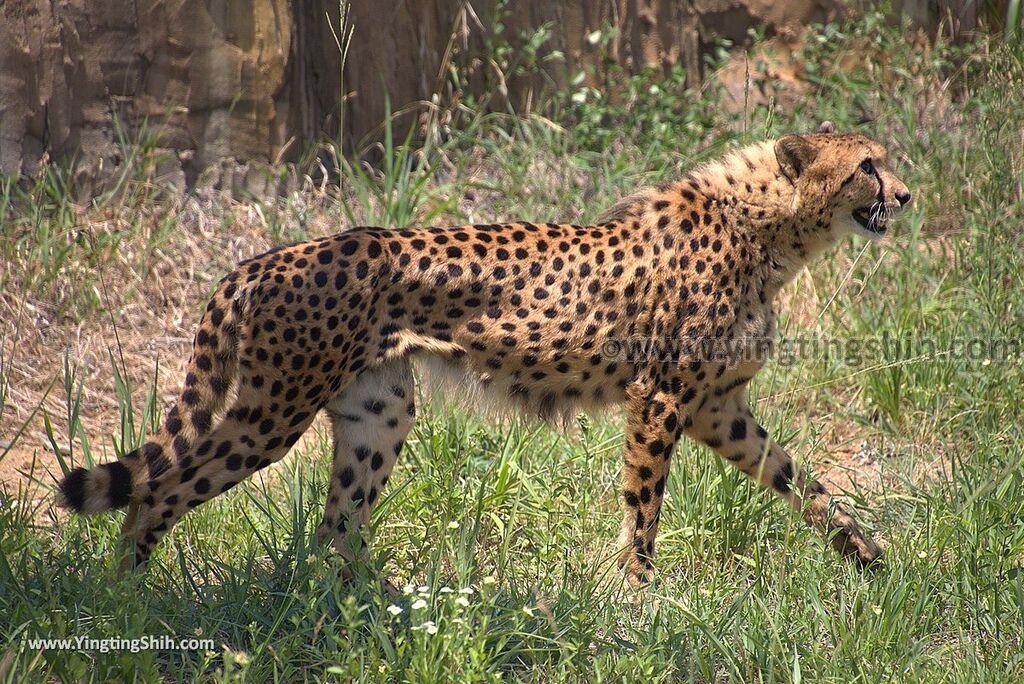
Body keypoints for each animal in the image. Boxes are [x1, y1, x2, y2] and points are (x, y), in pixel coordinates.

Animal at [59, 121, 913, 581]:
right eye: (867, 165)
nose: (905, 195)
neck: (771, 226)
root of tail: (262, 259)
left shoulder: (716, 406)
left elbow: (802, 481)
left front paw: (870, 558)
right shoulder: (663, 398)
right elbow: (645, 505)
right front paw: (644, 594)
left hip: (376, 412)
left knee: (336, 530)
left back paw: (367, 610)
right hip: (273, 409)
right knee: (157, 491)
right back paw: (127, 592)